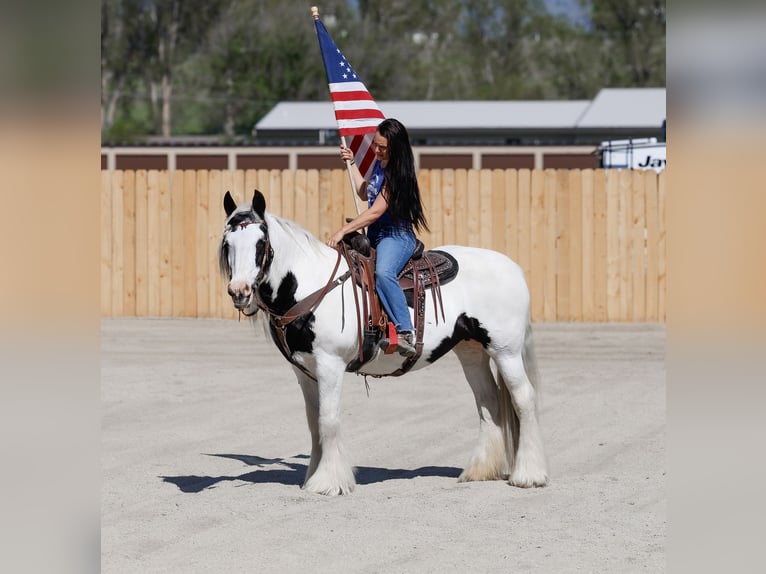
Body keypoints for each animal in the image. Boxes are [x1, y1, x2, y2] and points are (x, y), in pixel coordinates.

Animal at [219, 191, 548, 498]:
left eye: (260, 243)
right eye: (227, 243)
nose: (239, 291)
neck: (313, 284)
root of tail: (513, 268)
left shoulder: (330, 364)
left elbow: (329, 420)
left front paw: (329, 482)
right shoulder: (304, 371)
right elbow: (314, 423)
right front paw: (313, 475)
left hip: (505, 351)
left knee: (523, 399)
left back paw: (529, 475)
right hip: (471, 350)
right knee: (488, 402)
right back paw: (480, 471)